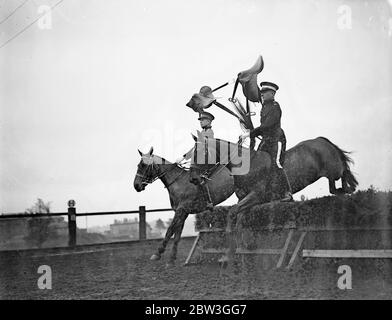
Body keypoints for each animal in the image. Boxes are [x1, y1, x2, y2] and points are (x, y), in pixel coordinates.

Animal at [190, 134, 358, 264]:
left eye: (200, 154)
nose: (193, 179)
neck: (244, 166)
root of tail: (320, 140)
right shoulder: (245, 201)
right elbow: (239, 223)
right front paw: (239, 252)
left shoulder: (256, 196)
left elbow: (231, 214)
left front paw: (229, 252)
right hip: (329, 174)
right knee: (334, 188)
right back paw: (344, 191)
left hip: (333, 169)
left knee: (343, 171)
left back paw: (349, 188)